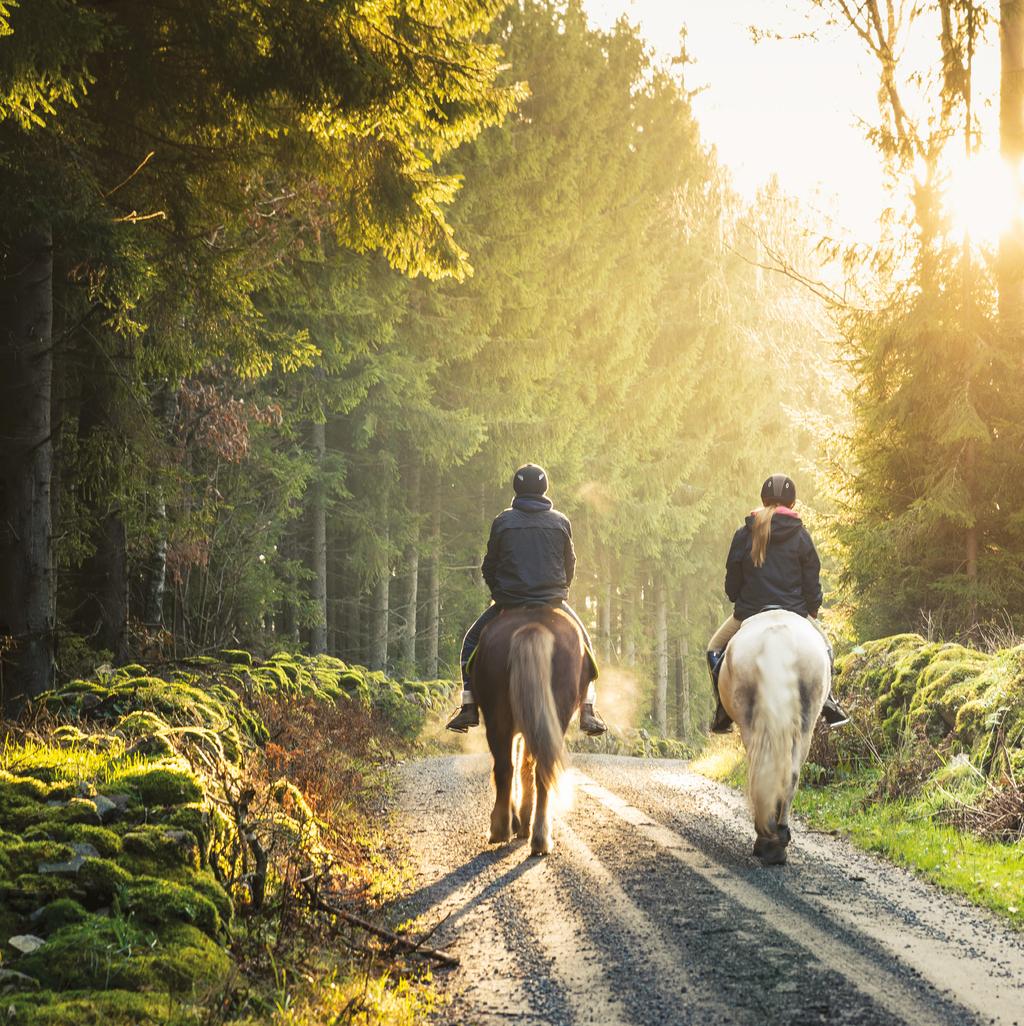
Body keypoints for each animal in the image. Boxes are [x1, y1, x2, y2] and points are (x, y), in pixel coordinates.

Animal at [469, 603, 591, 853]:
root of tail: (533, 627)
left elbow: (521, 765)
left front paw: (520, 822)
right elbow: (525, 766)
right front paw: (523, 822)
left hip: (498, 718)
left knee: (507, 767)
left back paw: (504, 829)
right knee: (535, 769)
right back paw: (537, 837)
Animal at [722, 607, 833, 865]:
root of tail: (777, 633)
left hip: (752, 721)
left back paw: (769, 838)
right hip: (805, 722)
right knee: (788, 774)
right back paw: (775, 839)